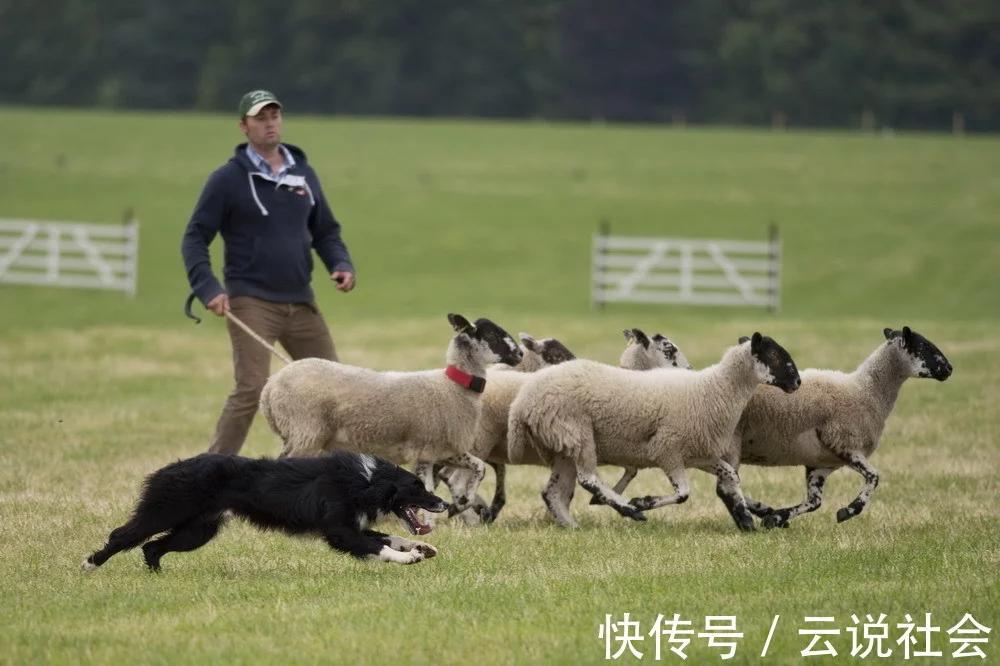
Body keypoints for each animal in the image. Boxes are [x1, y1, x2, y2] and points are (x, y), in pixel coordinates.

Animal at [82, 448, 450, 568]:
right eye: (417, 487)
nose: (444, 503)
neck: (366, 481)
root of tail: (168, 469)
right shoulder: (339, 530)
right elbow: (377, 547)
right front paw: (409, 557)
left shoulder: (349, 524)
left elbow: (387, 536)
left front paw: (422, 547)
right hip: (165, 510)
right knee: (124, 535)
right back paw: (90, 564)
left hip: (197, 530)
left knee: (152, 547)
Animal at [258, 312, 524, 512]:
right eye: (491, 334)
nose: (520, 354)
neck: (452, 387)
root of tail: (269, 389)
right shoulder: (426, 448)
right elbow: (428, 489)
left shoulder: (443, 450)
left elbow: (478, 467)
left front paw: (463, 501)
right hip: (305, 433)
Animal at [504, 332, 800, 528]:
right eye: (773, 354)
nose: (797, 382)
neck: (713, 389)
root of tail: (523, 400)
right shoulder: (667, 450)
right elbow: (683, 494)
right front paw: (642, 502)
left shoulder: (698, 454)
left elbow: (731, 476)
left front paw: (747, 516)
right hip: (576, 432)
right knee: (588, 479)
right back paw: (627, 510)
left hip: (562, 445)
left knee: (554, 493)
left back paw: (573, 526)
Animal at [736, 324, 952, 528]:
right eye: (923, 345)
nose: (950, 368)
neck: (866, 391)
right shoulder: (844, 444)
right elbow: (874, 477)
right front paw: (848, 511)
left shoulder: (822, 464)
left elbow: (814, 502)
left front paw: (776, 517)